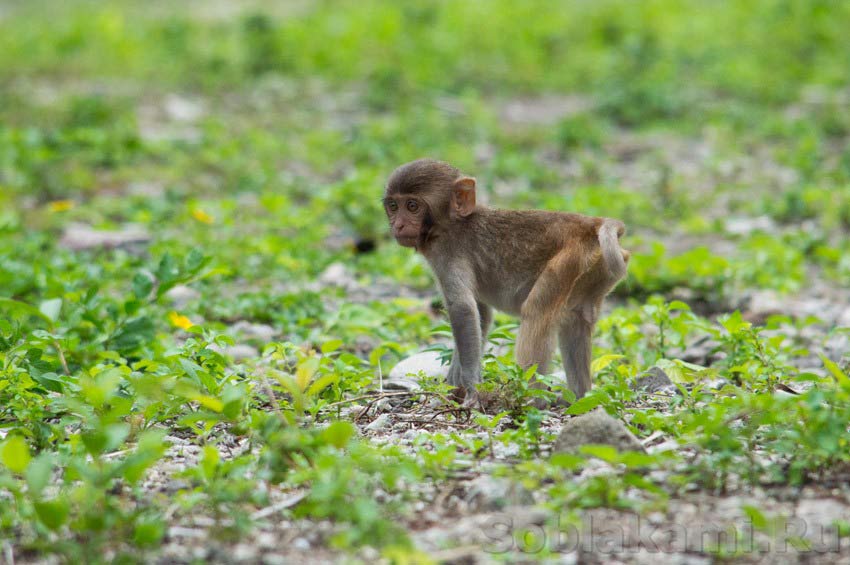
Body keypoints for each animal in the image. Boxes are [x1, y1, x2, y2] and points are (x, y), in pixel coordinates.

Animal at [380, 159, 628, 404]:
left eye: (412, 206)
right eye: (393, 206)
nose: (398, 225)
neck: (450, 224)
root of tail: (592, 224)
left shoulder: (447, 255)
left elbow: (463, 309)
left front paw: (472, 389)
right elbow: (481, 313)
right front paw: (454, 382)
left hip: (570, 259)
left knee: (536, 310)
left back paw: (528, 400)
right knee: (578, 319)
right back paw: (580, 399)